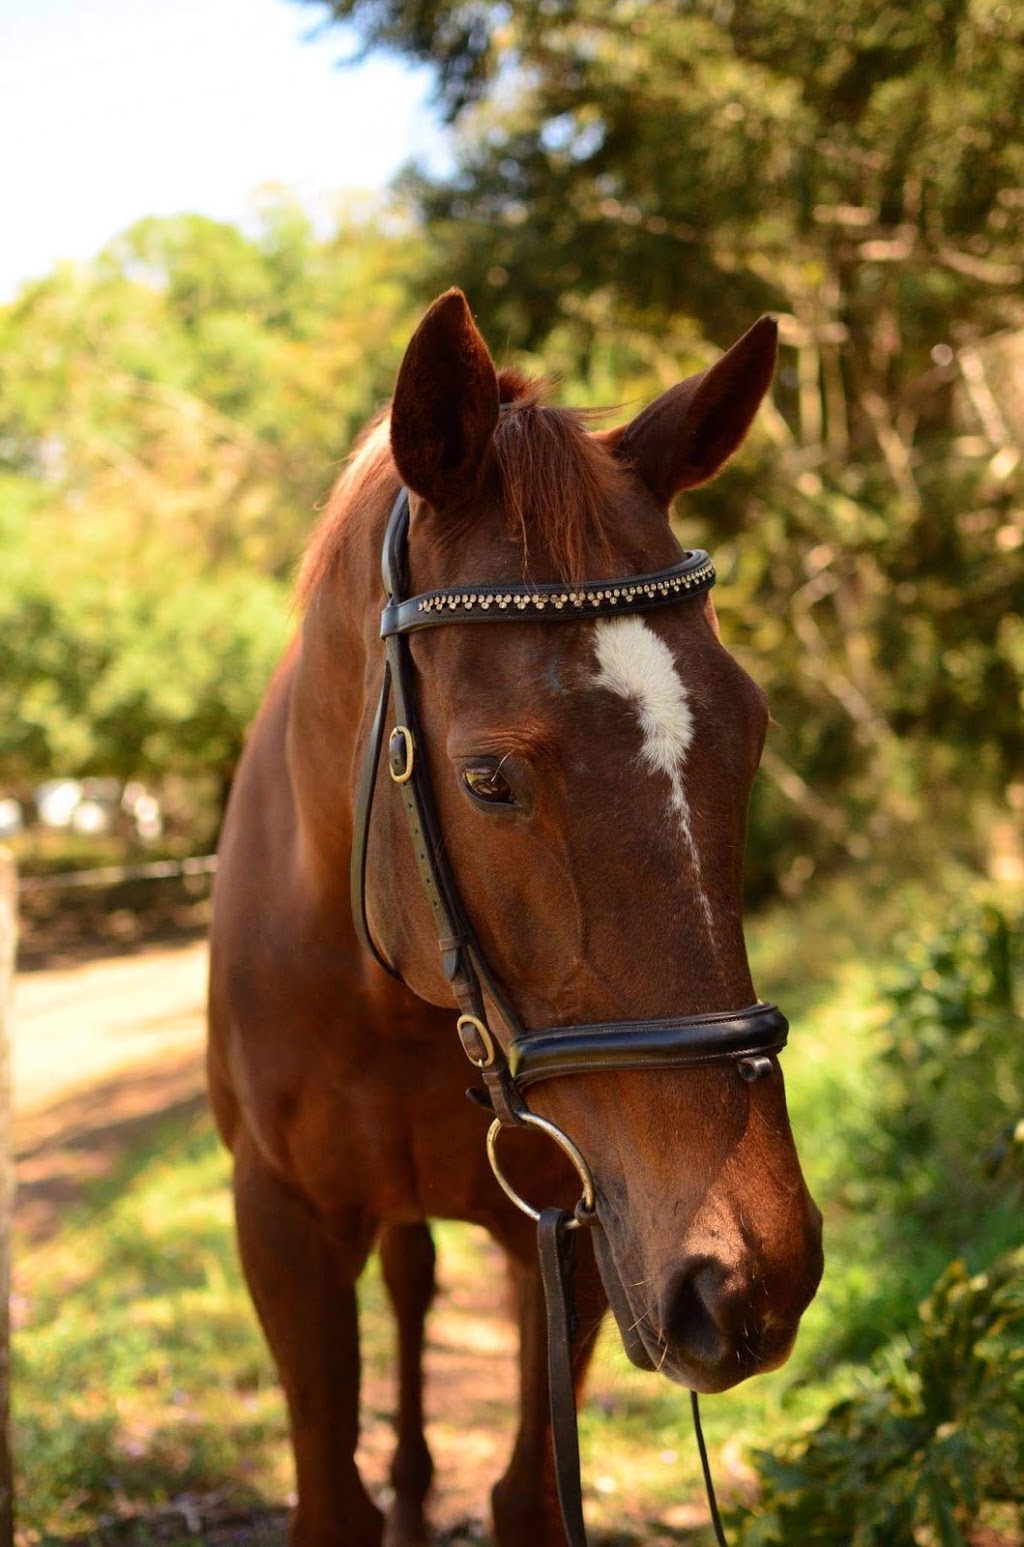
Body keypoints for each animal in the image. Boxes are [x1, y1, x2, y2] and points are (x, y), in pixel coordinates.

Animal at [210, 292, 829, 1547]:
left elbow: (527, 1492)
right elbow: (330, 1492)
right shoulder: (281, 1223)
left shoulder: (584, 1225)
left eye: (749, 733)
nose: (757, 1268)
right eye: (488, 779)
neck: (386, 999)